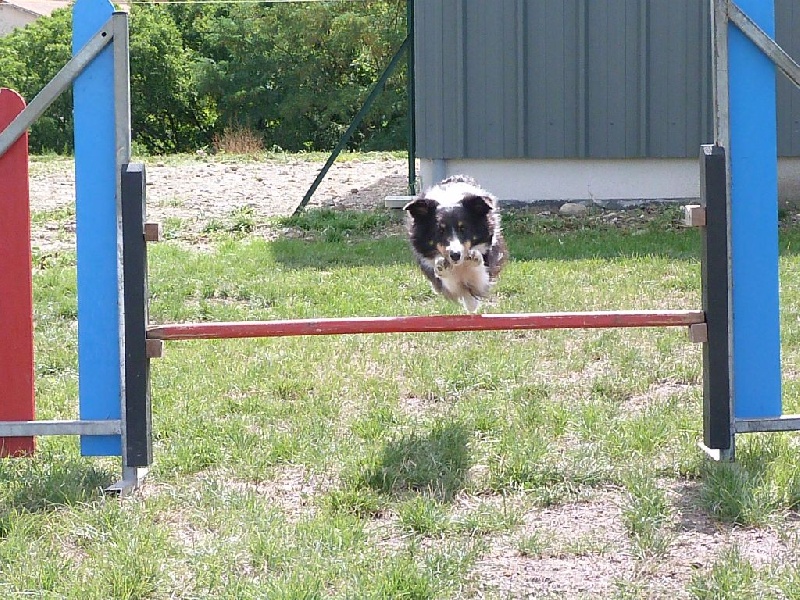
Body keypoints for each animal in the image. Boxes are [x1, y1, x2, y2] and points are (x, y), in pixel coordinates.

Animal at [404, 175, 510, 312]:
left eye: (463, 228)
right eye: (440, 230)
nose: (455, 255)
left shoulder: (487, 271)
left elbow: (479, 277)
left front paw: (474, 258)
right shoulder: (440, 280)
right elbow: (451, 283)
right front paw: (443, 267)